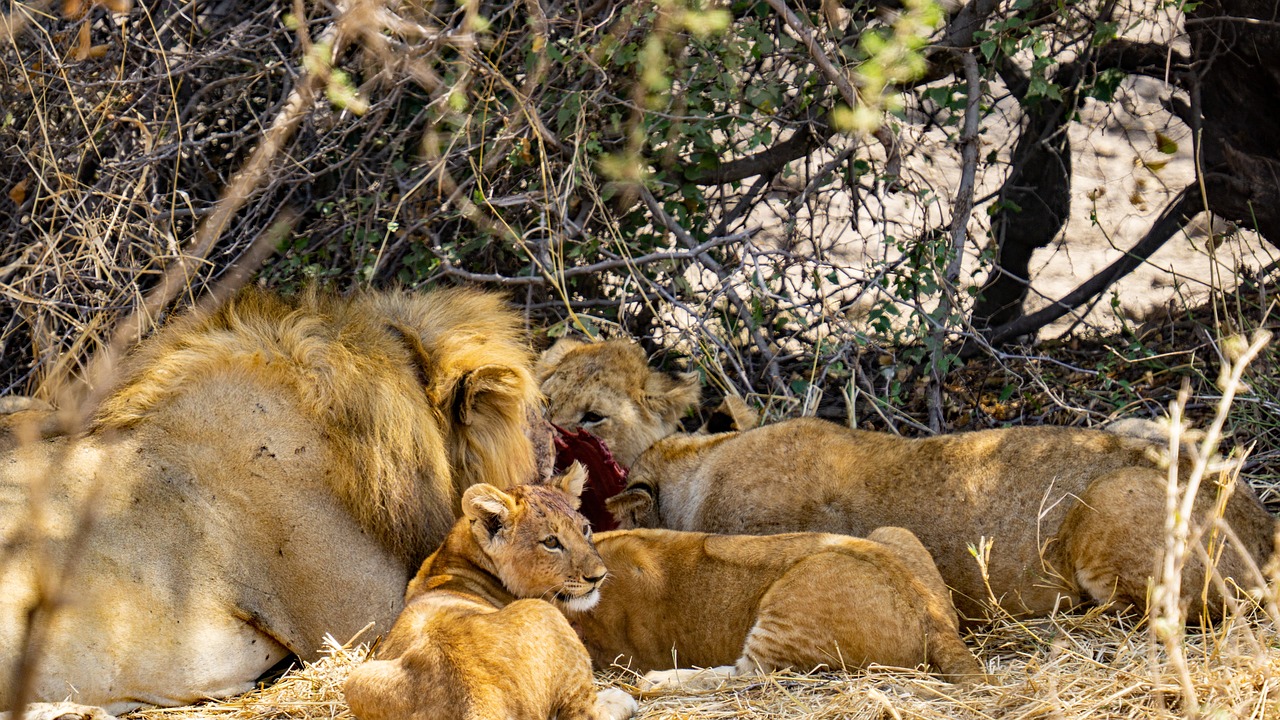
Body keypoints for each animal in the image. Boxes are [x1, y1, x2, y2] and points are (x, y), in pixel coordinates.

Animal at [343, 461, 637, 717]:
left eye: (585, 529)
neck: (453, 558)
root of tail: (476, 695)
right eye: (551, 542)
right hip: (547, 617)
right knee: (584, 711)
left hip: (355, 679)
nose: (598, 577)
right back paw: (620, 698)